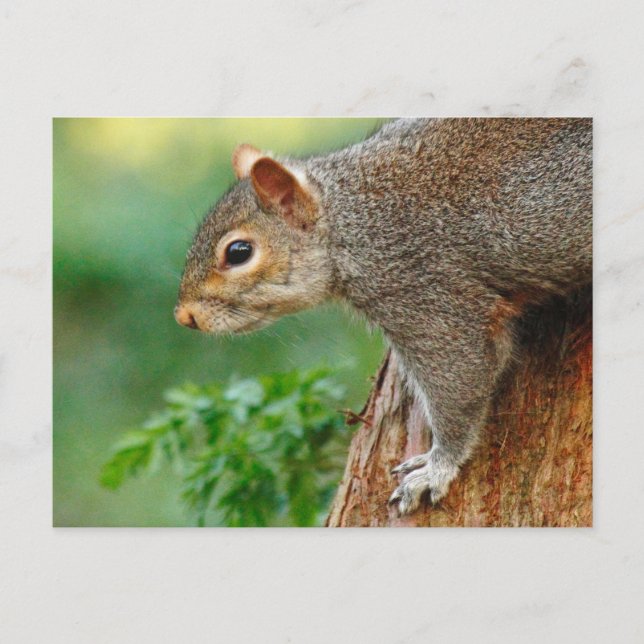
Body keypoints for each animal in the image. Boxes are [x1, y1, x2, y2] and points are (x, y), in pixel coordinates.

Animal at [175, 118, 592, 515]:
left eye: (239, 252)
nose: (184, 317)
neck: (351, 219)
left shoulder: (424, 291)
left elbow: (461, 378)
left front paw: (436, 467)